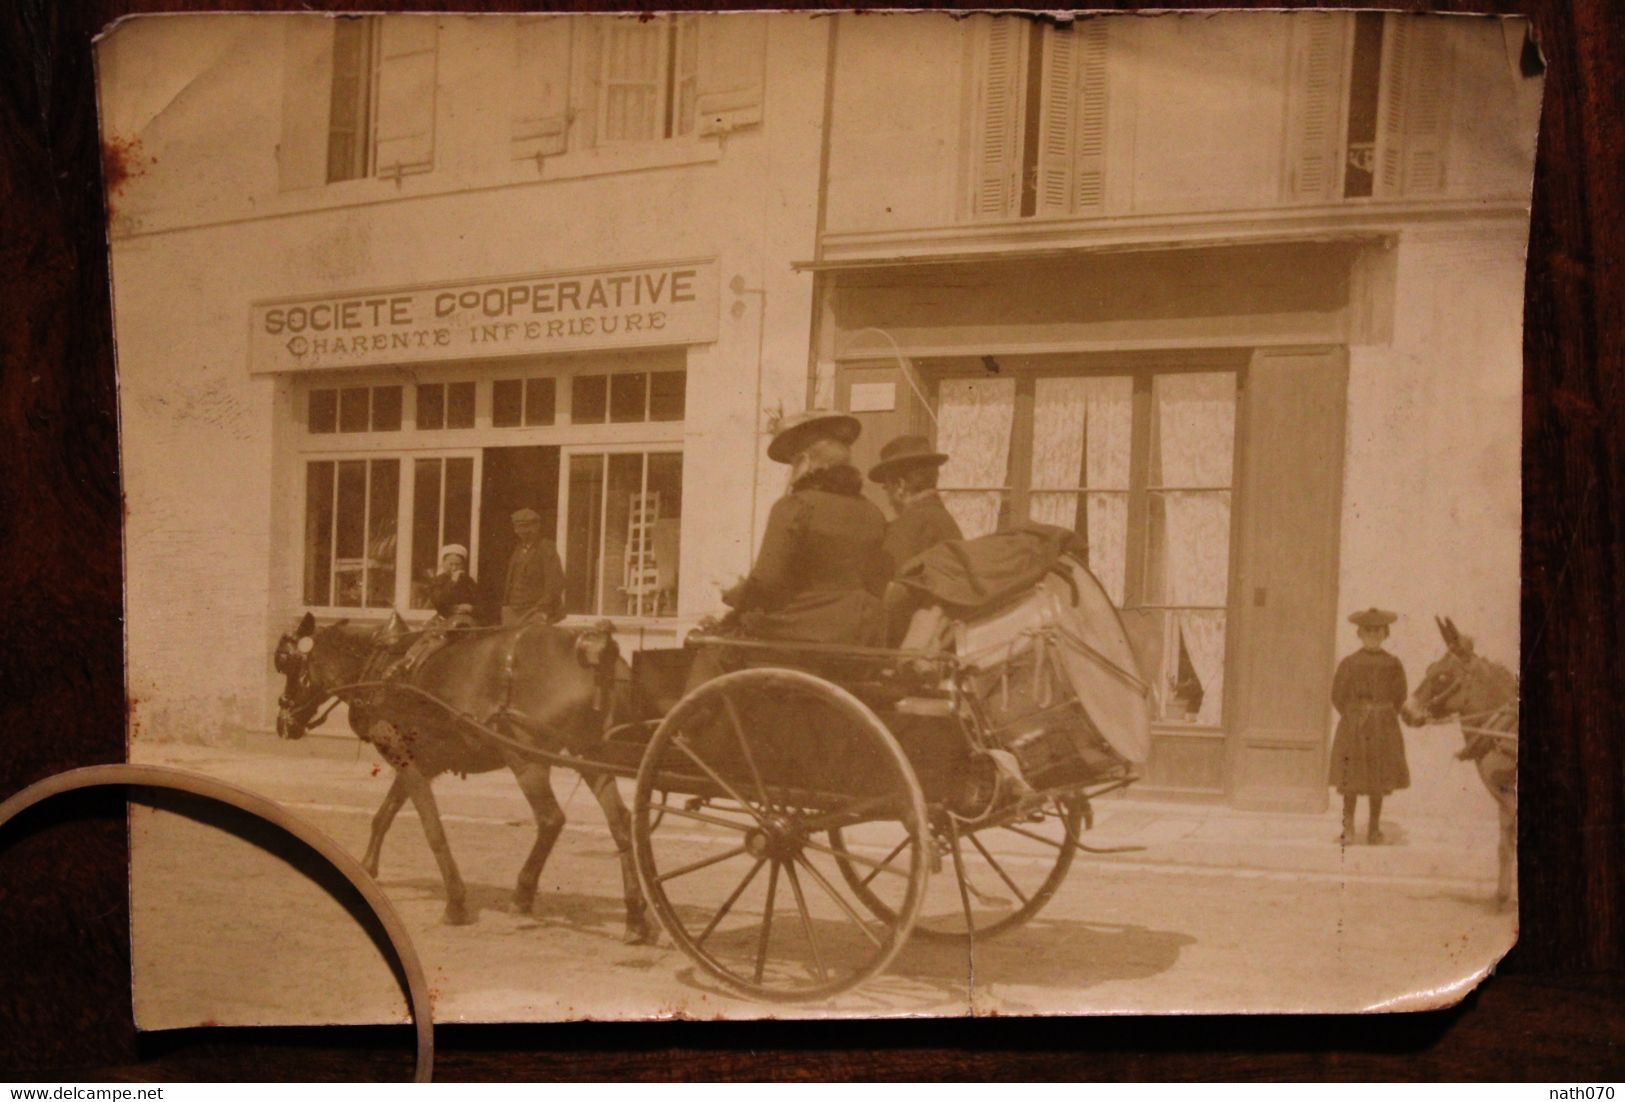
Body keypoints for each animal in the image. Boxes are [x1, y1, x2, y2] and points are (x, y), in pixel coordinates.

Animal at [273, 614, 653, 942]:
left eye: (288, 664)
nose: (282, 721)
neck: (382, 669)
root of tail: (594, 650)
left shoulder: (407, 759)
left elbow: (433, 830)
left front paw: (455, 902)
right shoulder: (423, 763)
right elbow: (384, 815)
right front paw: (367, 868)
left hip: (525, 756)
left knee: (551, 819)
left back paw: (523, 893)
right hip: (592, 757)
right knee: (621, 822)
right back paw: (635, 915)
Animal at [1404, 617, 1514, 910]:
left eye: (1443, 676)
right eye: (1429, 668)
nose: (1406, 711)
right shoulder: (1503, 797)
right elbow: (1504, 845)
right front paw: (1501, 897)